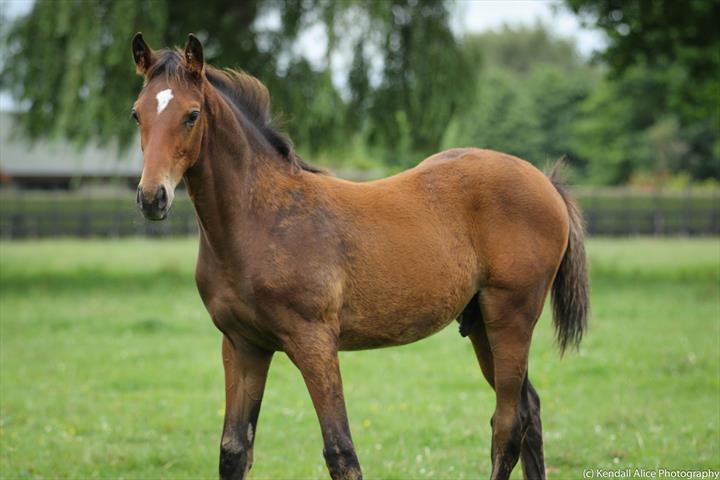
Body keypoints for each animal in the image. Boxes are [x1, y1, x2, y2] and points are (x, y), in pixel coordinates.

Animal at [131, 31, 592, 478]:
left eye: (191, 115)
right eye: (137, 114)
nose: (152, 198)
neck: (260, 220)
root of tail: (546, 182)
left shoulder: (314, 341)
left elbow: (340, 452)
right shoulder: (242, 345)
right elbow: (233, 452)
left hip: (511, 317)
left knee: (509, 425)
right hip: (480, 322)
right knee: (529, 410)